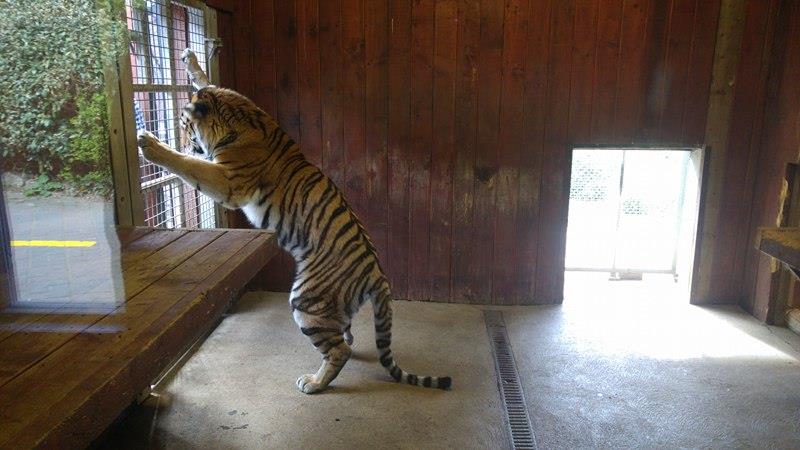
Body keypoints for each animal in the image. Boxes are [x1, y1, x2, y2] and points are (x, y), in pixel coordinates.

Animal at [136, 49, 451, 394]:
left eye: (184, 125)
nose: (180, 139)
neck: (242, 115)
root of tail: (377, 274)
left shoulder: (230, 182)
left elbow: (190, 166)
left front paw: (151, 145)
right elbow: (207, 80)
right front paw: (191, 60)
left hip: (306, 300)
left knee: (338, 350)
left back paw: (314, 383)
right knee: (345, 336)